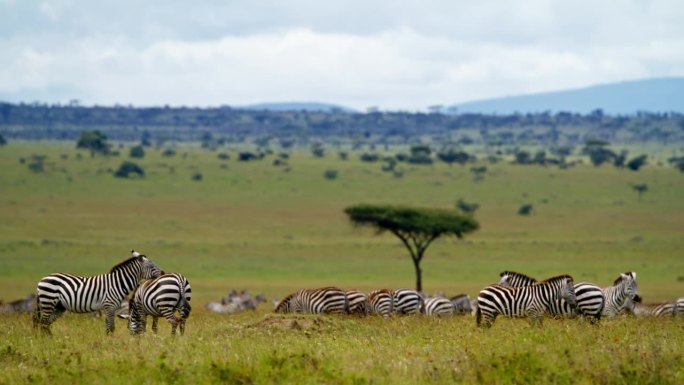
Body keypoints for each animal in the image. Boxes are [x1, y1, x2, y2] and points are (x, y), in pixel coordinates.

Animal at [34, 249, 164, 332]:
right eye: (152, 266)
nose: (163, 273)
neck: (117, 283)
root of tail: (42, 279)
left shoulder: (109, 308)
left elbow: (107, 327)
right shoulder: (109, 306)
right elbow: (111, 328)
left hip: (59, 306)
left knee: (45, 324)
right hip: (48, 301)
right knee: (43, 323)